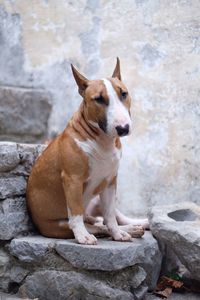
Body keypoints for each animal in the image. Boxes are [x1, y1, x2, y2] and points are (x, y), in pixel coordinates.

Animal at [26, 58, 148, 244]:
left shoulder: (110, 181)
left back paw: (137, 225)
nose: (123, 128)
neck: (104, 142)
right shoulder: (72, 180)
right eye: (99, 99)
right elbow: (76, 212)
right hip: (61, 225)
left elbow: (110, 215)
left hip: (97, 198)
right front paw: (83, 237)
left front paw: (118, 234)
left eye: (124, 94)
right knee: (95, 225)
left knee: (108, 219)